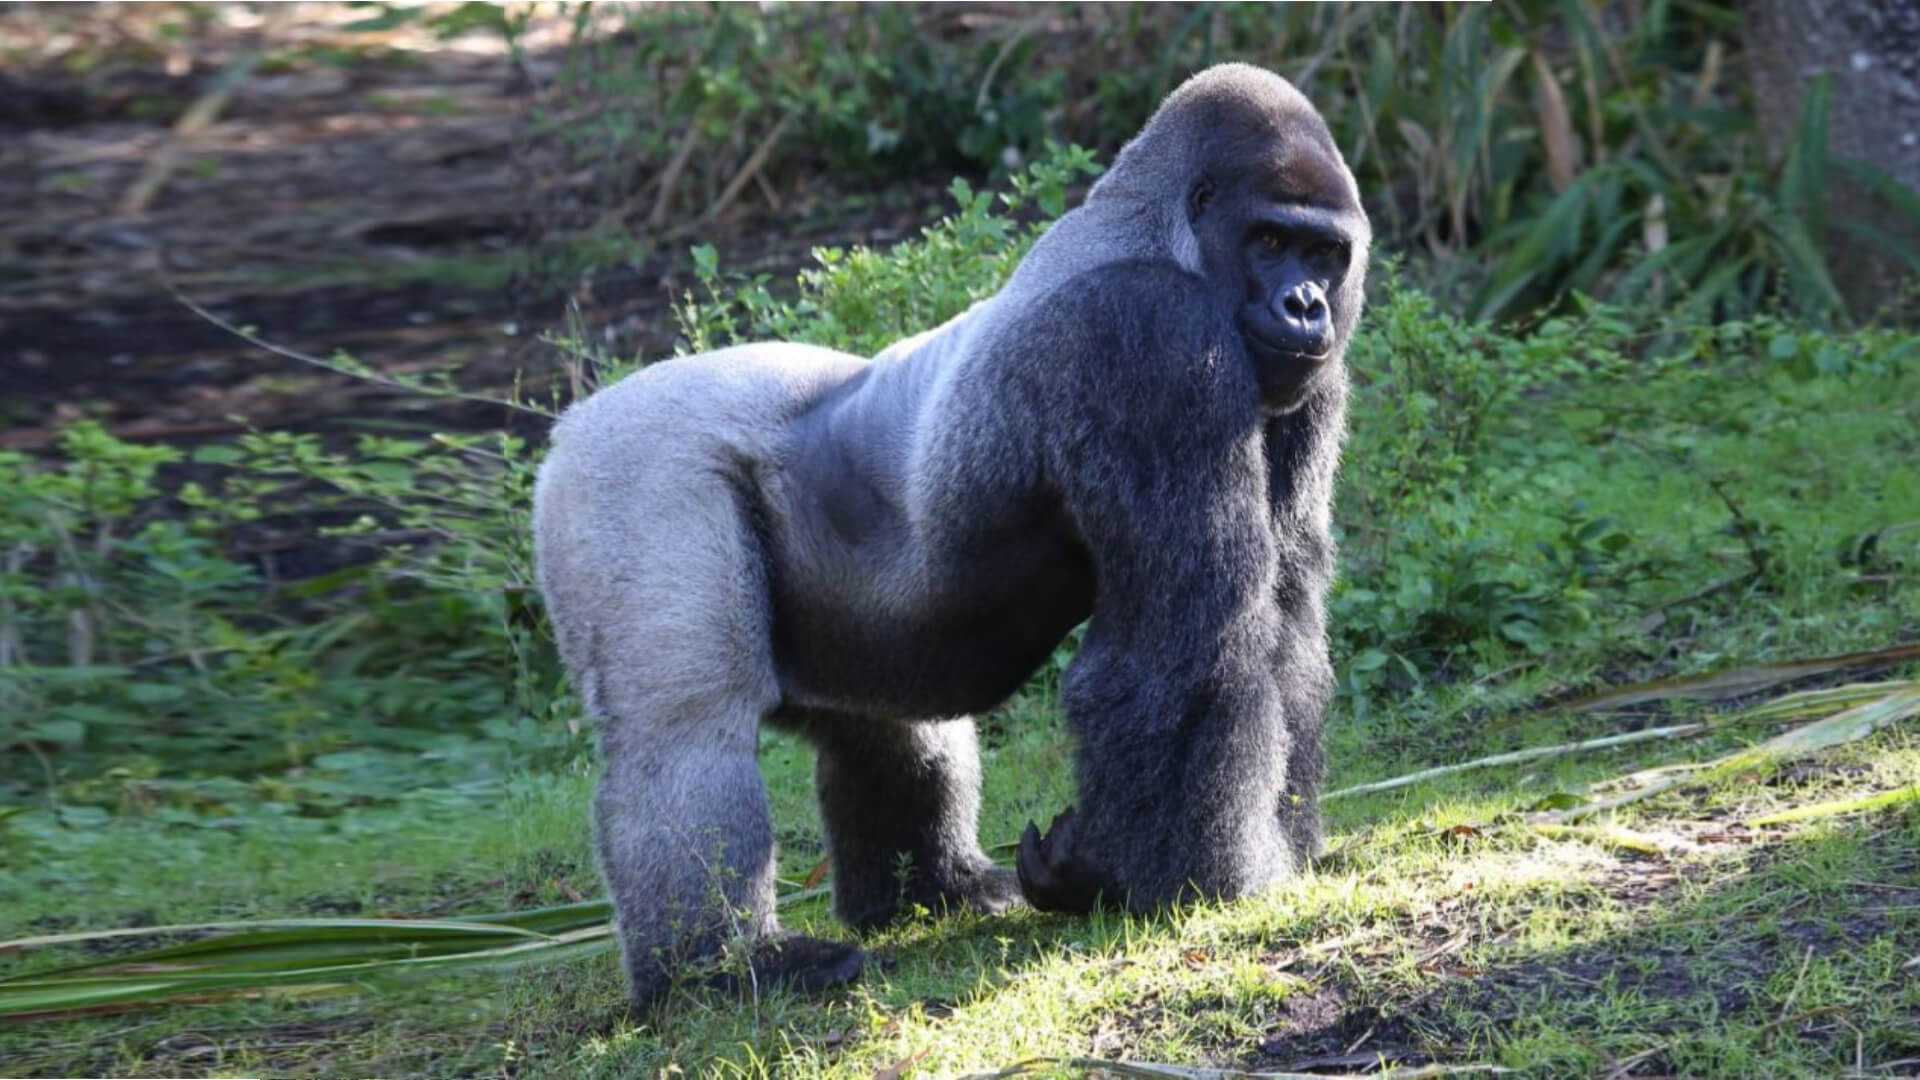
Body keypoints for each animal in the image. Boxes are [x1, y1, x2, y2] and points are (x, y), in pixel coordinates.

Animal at [531, 62, 1370, 1009]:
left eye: (1324, 255)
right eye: (1268, 241)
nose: (1306, 305)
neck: (1166, 236)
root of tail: (571, 423)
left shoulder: (1307, 378)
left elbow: (1284, 619)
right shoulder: (1150, 337)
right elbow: (1190, 644)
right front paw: (1187, 882)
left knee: (890, 726)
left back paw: (936, 891)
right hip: (628, 471)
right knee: (686, 733)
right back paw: (716, 970)